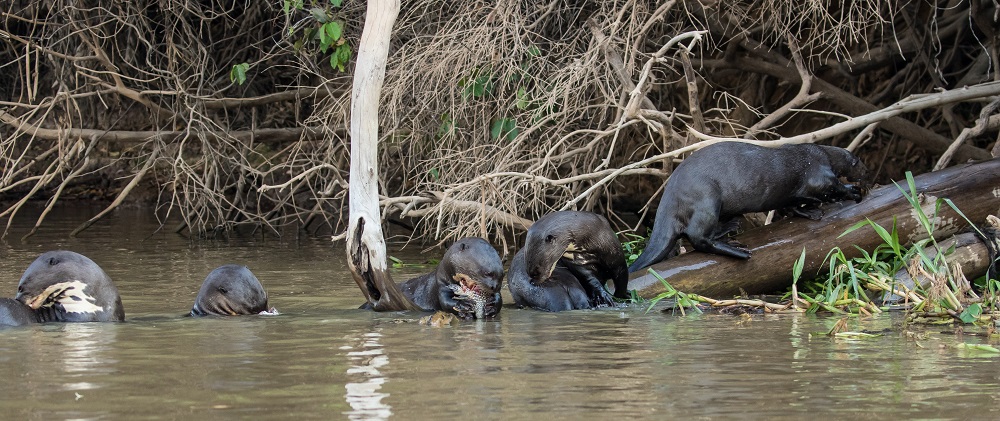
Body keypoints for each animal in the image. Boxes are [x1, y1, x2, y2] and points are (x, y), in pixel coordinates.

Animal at [628, 142, 872, 272]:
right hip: (707, 197)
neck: (822, 155)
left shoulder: (790, 194)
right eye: (861, 163)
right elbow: (831, 187)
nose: (868, 173)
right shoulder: (819, 175)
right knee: (697, 237)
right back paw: (738, 249)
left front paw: (809, 211)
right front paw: (854, 192)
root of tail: (670, 192)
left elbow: (792, 204)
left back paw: (730, 231)